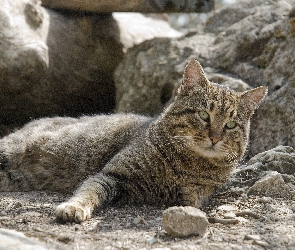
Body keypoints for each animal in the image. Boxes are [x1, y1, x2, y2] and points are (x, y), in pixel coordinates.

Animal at [0, 59, 268, 223]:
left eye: (230, 125)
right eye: (204, 115)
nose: (215, 137)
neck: (187, 165)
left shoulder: (196, 193)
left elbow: (192, 203)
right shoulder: (111, 174)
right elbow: (88, 192)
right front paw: (73, 208)